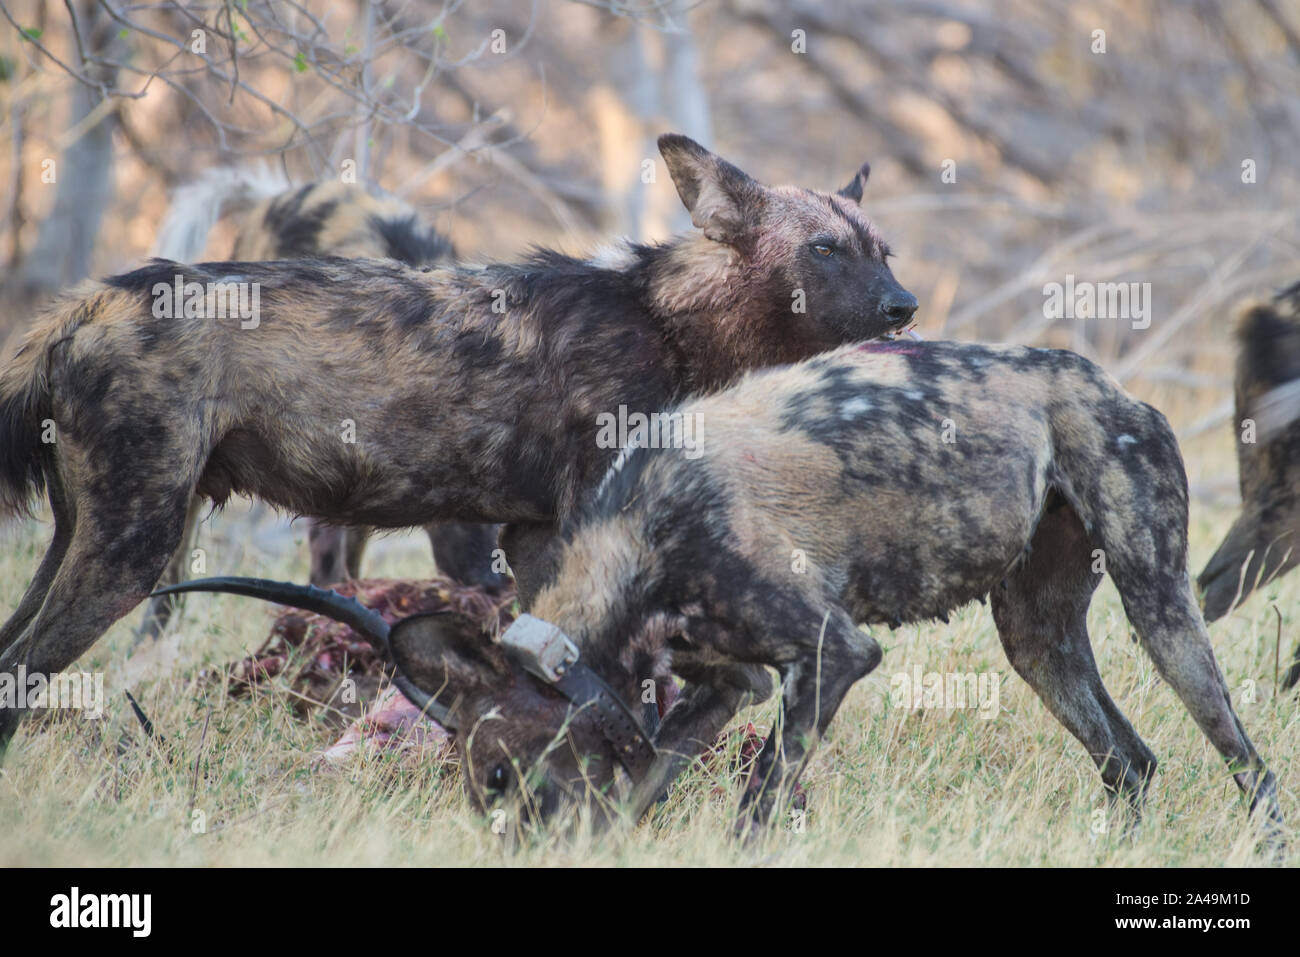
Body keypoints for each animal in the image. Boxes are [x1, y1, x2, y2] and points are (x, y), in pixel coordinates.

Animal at [167, 338, 1284, 837]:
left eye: (502, 776)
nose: (518, 849)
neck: (643, 538)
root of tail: (1097, 377)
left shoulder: (830, 655)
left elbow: (757, 806)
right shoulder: (722, 683)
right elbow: (650, 783)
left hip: (1161, 608)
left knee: (1249, 764)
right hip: (1035, 639)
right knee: (1130, 763)